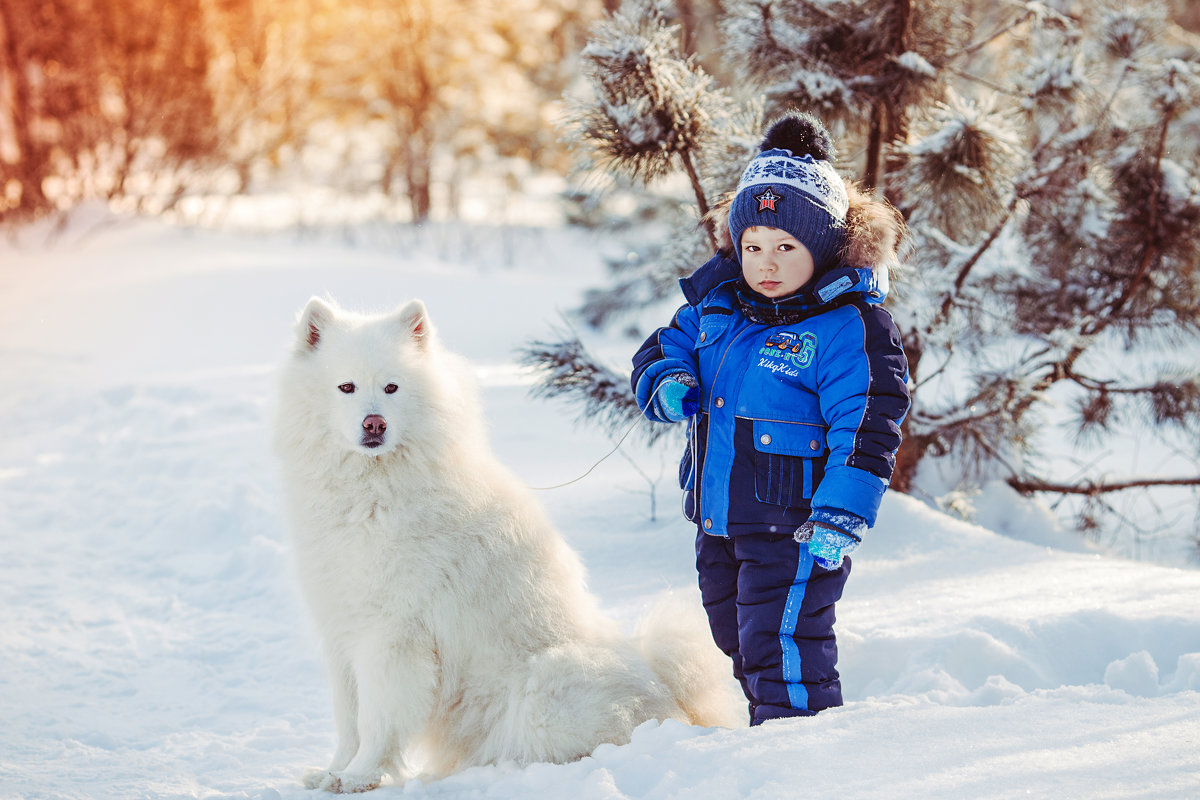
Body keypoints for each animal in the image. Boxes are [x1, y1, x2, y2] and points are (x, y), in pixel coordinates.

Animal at [272, 297, 739, 791]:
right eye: (346, 387)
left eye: (391, 387)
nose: (374, 423)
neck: (371, 490)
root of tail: (671, 696)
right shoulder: (342, 629)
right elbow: (348, 718)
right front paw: (332, 771)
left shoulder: (393, 635)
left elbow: (376, 720)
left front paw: (359, 777)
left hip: (546, 687)